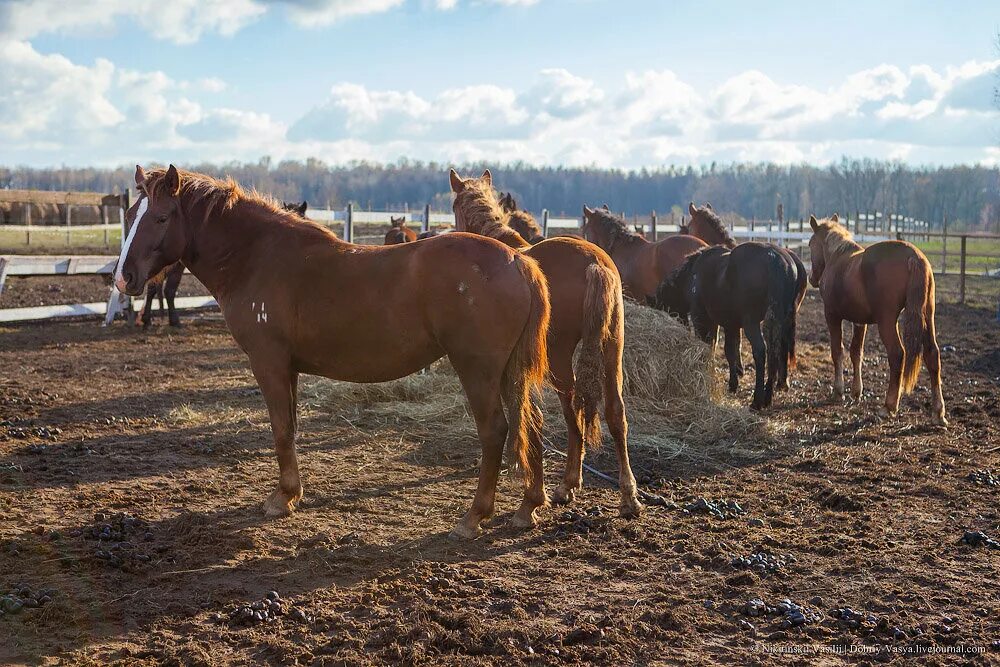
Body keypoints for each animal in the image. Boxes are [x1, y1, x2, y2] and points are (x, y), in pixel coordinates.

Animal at [118, 164, 556, 540]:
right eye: (130, 214)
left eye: (161, 217)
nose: (124, 279)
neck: (256, 258)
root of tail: (519, 260)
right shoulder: (289, 368)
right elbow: (291, 427)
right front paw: (292, 493)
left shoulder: (269, 363)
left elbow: (280, 429)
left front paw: (282, 498)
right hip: (509, 372)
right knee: (529, 424)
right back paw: (528, 507)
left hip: (478, 370)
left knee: (495, 431)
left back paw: (473, 517)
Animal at [452, 167, 644, 516]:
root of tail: (594, 263)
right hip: (613, 348)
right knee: (614, 412)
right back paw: (628, 496)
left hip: (559, 356)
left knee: (573, 410)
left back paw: (566, 485)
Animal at [656, 243, 804, 410]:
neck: (692, 277)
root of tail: (775, 258)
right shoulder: (730, 325)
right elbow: (729, 351)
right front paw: (733, 383)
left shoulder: (703, 319)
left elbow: (709, 347)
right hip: (780, 320)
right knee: (776, 350)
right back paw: (768, 397)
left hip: (751, 322)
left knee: (760, 351)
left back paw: (757, 400)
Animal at [804, 217, 944, 426]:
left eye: (811, 244)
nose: (811, 278)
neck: (837, 259)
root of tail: (914, 257)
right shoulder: (859, 321)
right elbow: (856, 353)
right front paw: (856, 392)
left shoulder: (832, 316)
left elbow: (837, 352)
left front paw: (838, 391)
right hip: (927, 316)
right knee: (932, 354)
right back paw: (938, 412)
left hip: (887, 321)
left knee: (897, 354)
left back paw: (889, 406)